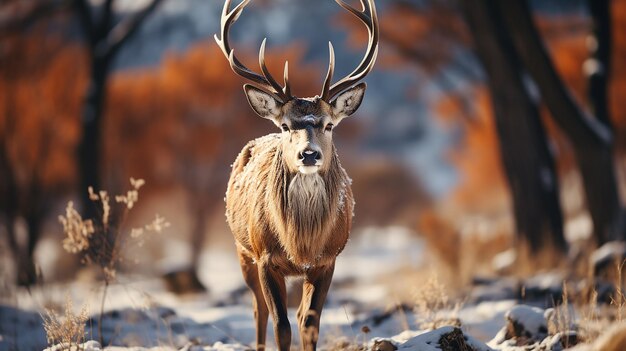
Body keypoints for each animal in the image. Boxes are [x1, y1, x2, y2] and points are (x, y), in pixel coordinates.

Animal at [214, 1, 378, 350]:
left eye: (329, 124)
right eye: (286, 125)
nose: (309, 154)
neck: (300, 243)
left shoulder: (327, 259)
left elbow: (309, 323)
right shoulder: (265, 257)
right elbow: (281, 325)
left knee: (298, 312)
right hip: (242, 249)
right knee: (258, 311)